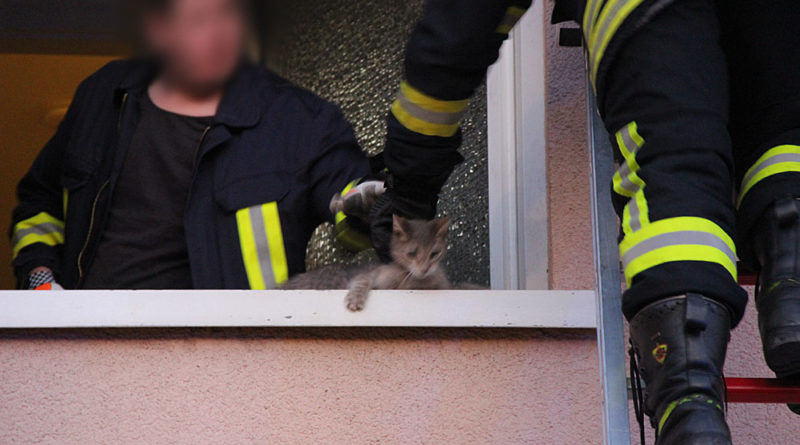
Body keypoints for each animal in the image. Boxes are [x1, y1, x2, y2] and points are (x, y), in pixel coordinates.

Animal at [282, 214, 454, 310]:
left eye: (434, 253)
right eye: (412, 253)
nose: (425, 269)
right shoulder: (369, 273)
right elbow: (362, 282)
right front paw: (355, 300)